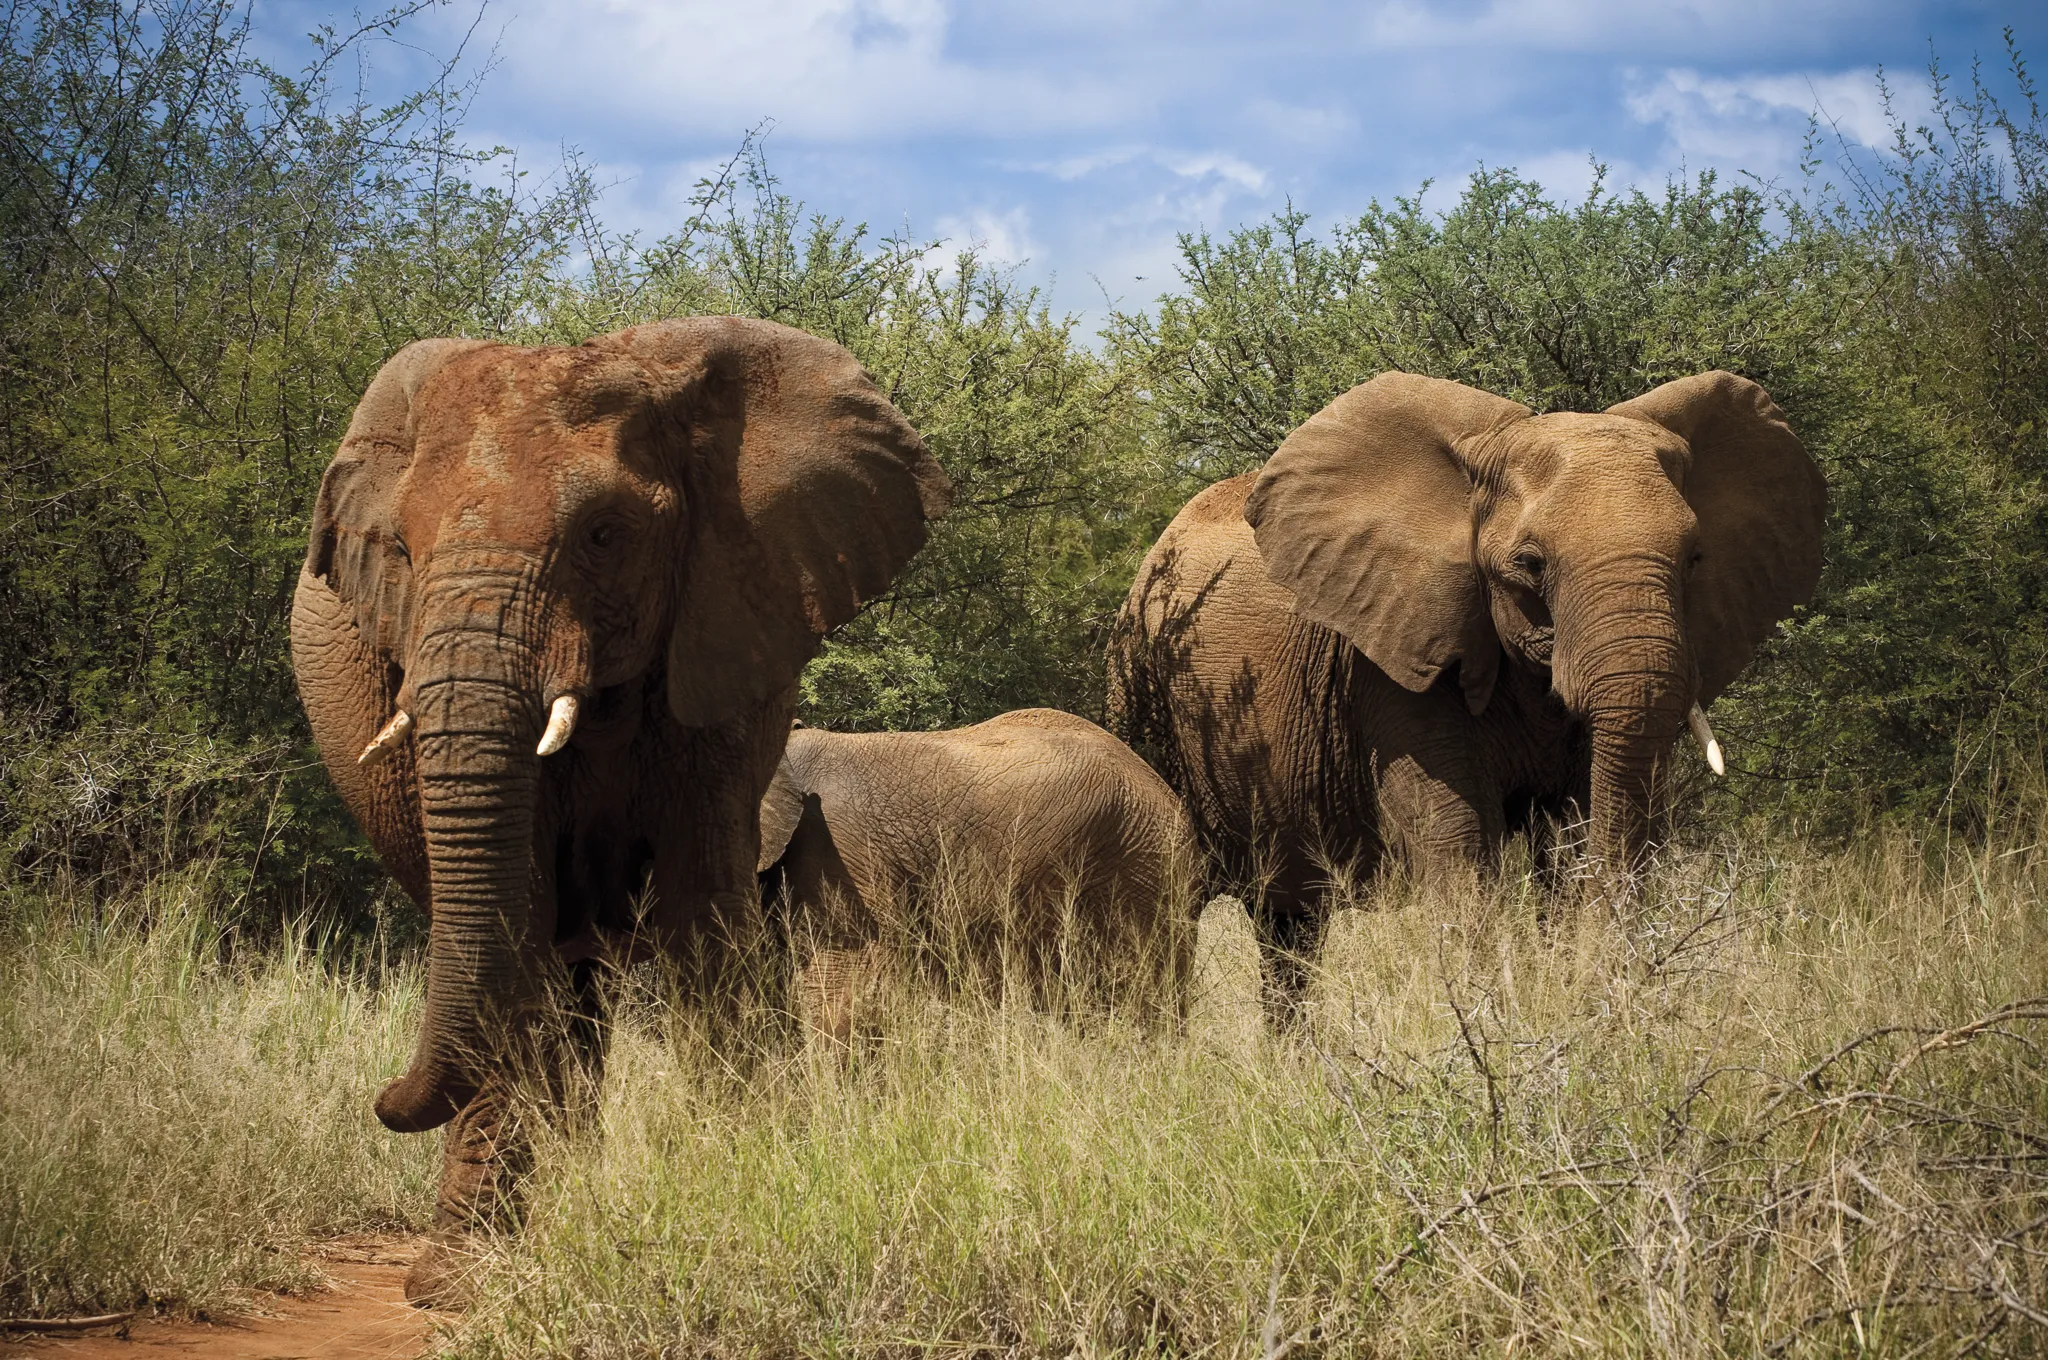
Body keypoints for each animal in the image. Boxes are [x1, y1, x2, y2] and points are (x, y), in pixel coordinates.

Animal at [289, 316, 950, 1301]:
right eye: (400, 547)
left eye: (605, 534)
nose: (380, 1098)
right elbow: (517, 924)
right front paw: (462, 1285)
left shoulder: (729, 621)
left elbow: (704, 912)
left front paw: (740, 1212)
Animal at [1108, 370, 1824, 979]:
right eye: (1530, 564)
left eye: (1696, 557)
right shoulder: (1388, 660)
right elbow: (1457, 837)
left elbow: (1572, 829)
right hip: (1143, 692)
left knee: (1289, 927)